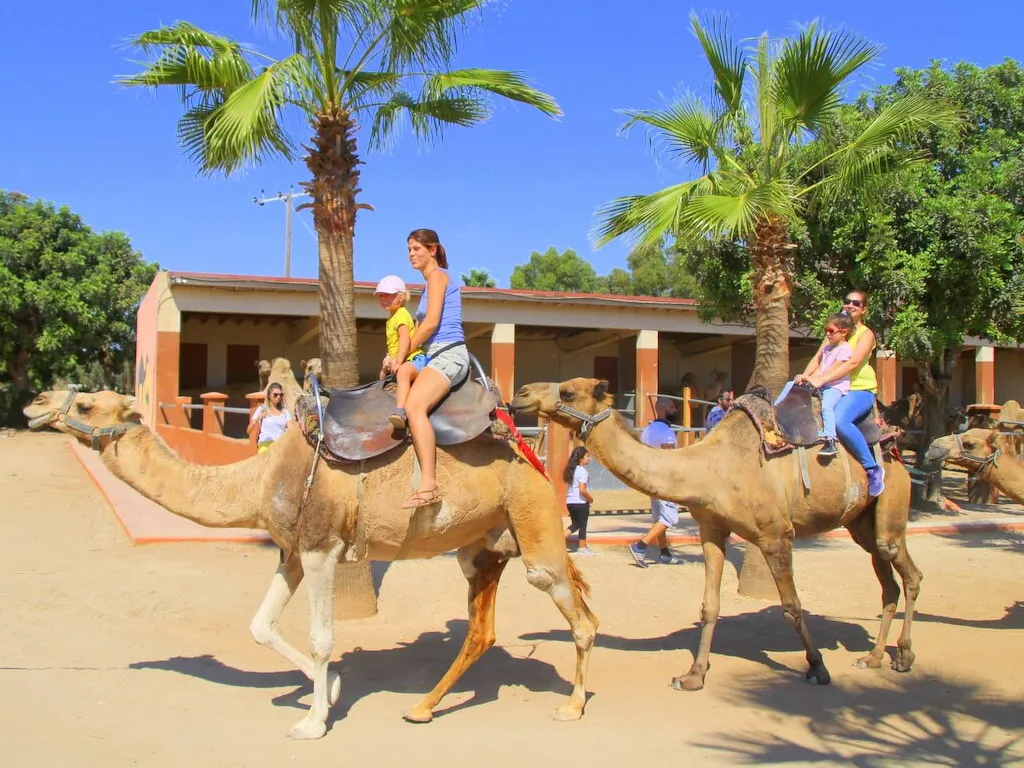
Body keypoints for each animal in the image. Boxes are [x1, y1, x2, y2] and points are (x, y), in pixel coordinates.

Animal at [24, 389, 597, 739]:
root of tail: (531, 453)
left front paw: (314, 721)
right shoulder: (292, 552)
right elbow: (260, 626)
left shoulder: (322, 548)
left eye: (89, 404)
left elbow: (322, 638)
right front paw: (332, 689)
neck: (258, 478)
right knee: (481, 629)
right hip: (481, 547)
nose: (35, 402)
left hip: (534, 521)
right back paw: (421, 707)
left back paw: (572, 705)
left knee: (578, 613)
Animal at [510, 378, 921, 691]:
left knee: (909, 573)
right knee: (889, 583)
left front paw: (817, 667)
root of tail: (894, 445)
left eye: (567, 392)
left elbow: (792, 606)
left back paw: (903, 655)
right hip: (861, 522)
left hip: (890, 509)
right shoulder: (712, 529)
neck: (710, 469)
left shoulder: (776, 535)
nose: (521, 393)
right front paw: (692, 676)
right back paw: (873, 657)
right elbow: (710, 606)